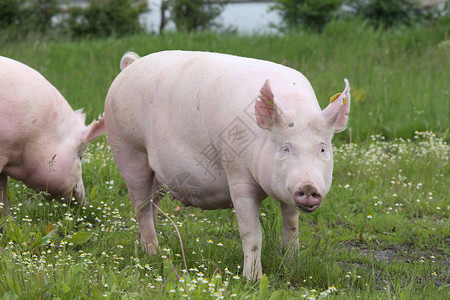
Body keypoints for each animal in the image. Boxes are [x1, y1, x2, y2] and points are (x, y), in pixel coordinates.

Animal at [105, 51, 352, 278]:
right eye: (285, 148)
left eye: (323, 148)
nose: (308, 187)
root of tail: (131, 66)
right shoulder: (237, 174)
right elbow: (252, 233)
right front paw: (254, 280)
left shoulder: (287, 192)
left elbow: (292, 225)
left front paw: (292, 264)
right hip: (129, 150)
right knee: (141, 206)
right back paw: (154, 253)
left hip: (155, 173)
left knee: (152, 204)